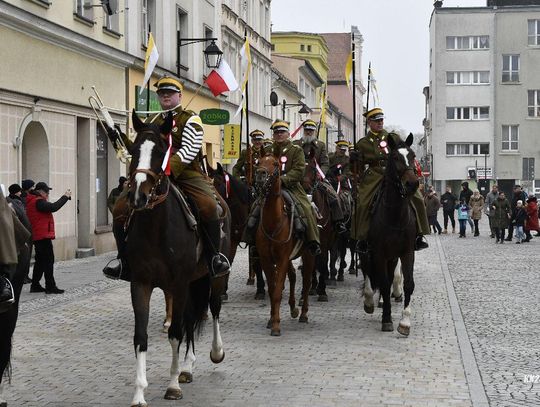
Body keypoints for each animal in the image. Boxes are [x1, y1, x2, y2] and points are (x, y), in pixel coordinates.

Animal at [255, 155, 314, 336]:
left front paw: (276, 326)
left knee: (307, 281)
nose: (260, 174)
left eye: (275, 163)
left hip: (308, 255)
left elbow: (277, 291)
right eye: (259, 162)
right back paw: (294, 308)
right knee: (294, 276)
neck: (273, 223)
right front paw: (271, 319)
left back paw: (304, 314)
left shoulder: (281, 259)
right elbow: (273, 289)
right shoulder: (266, 259)